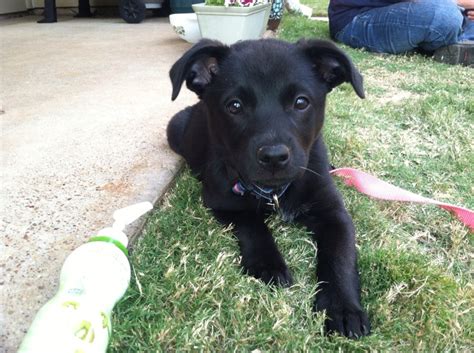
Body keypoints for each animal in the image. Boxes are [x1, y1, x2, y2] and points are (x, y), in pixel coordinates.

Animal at [167, 37, 370, 336]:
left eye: (301, 102)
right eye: (235, 106)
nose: (274, 157)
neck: (275, 192)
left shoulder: (334, 213)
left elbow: (339, 256)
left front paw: (343, 308)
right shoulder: (222, 200)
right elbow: (253, 225)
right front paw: (269, 265)